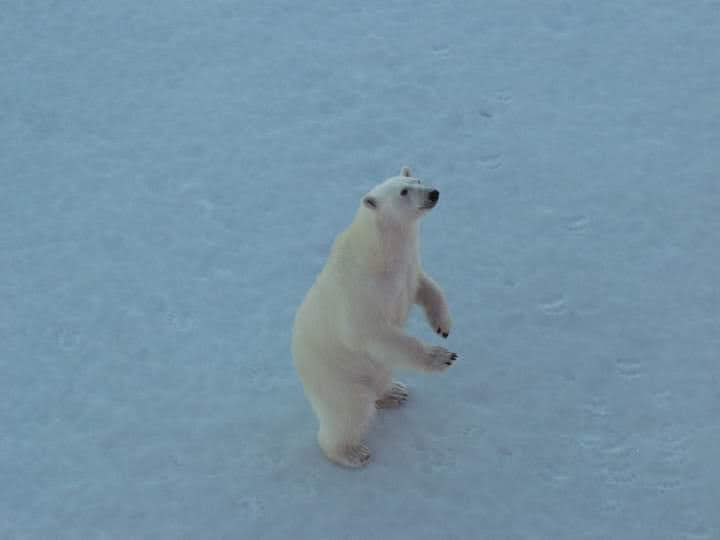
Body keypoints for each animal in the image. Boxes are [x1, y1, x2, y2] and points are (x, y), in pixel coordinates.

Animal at [292, 166, 457, 468]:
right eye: (403, 192)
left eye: (417, 179)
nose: (433, 193)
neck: (380, 250)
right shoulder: (362, 292)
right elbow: (373, 332)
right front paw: (442, 357)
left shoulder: (407, 267)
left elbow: (424, 286)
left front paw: (443, 324)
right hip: (336, 375)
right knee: (349, 411)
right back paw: (351, 453)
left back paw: (395, 392)